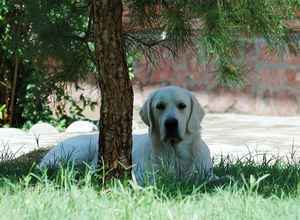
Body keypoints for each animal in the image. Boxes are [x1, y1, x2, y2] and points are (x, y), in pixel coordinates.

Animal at [38, 86, 216, 186]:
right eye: (160, 106)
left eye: (182, 106)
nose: (171, 123)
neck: (175, 153)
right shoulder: (141, 174)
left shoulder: (207, 174)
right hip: (77, 153)